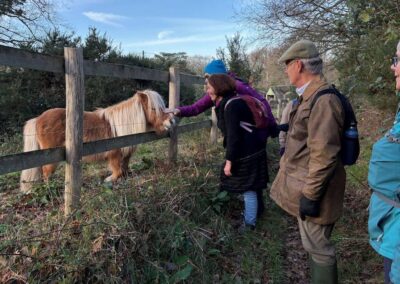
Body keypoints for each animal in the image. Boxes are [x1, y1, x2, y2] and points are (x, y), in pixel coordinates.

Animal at [20, 90, 173, 194]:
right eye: (153, 108)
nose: (171, 121)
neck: (122, 127)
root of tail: (37, 119)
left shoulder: (126, 155)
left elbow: (124, 170)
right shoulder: (114, 155)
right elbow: (117, 172)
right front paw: (108, 180)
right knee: (46, 173)